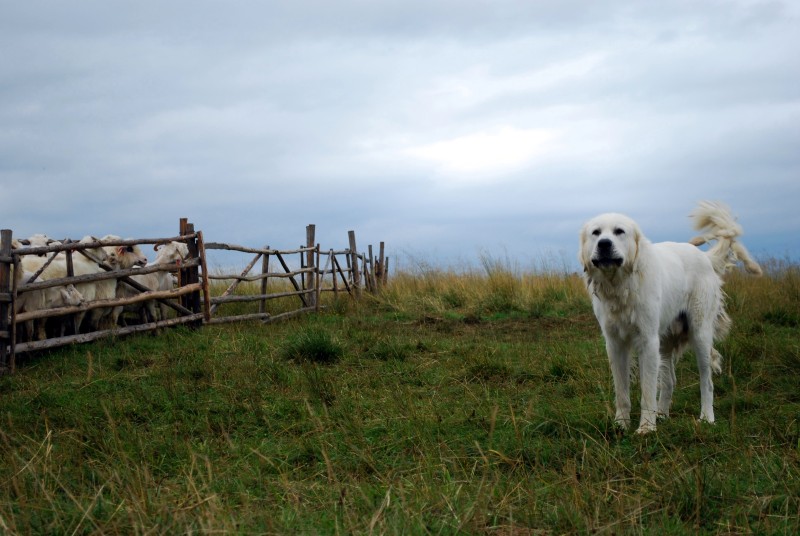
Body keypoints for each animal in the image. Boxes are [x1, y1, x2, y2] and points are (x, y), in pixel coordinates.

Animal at [580, 203, 760, 434]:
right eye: (596, 233)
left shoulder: (647, 342)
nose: (604, 244)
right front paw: (621, 424)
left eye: (619, 231)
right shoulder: (615, 344)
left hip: (700, 336)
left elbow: (647, 392)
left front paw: (646, 428)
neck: (621, 285)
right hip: (665, 342)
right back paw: (662, 414)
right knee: (669, 381)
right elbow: (622, 392)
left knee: (707, 382)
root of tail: (703, 257)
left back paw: (706, 418)